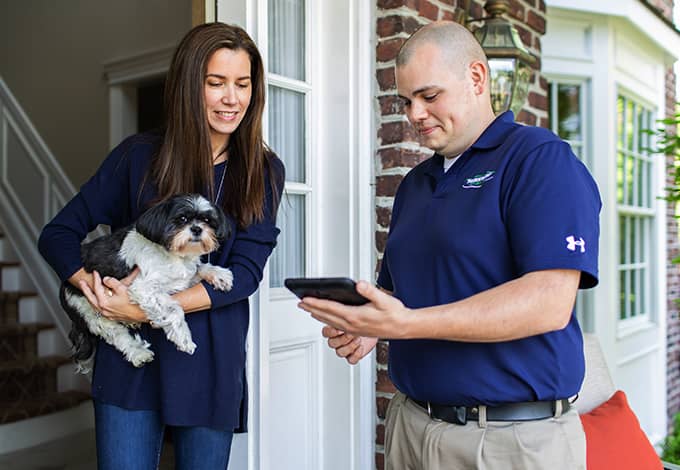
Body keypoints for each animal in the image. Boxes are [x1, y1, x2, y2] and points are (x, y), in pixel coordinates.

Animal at [59, 195, 234, 370]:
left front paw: (220, 275)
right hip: (87, 309)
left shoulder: (181, 280)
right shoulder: (144, 288)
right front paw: (183, 337)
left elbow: (199, 268)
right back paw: (139, 353)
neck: (173, 255)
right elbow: (174, 310)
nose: (197, 229)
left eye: (207, 220)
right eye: (182, 219)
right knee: (116, 334)